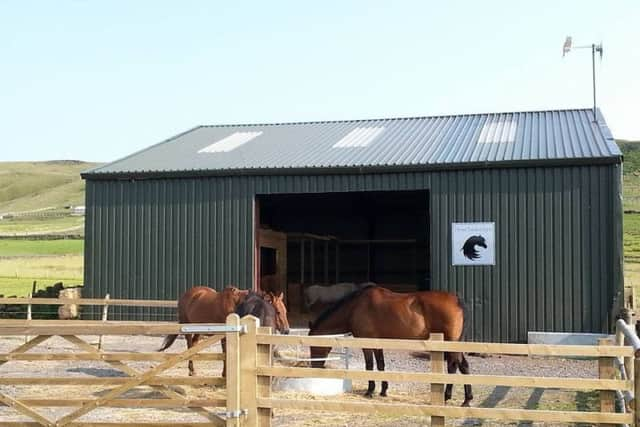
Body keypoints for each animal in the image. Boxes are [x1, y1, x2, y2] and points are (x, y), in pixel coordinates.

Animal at [310, 286, 476, 406]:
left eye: (312, 346)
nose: (315, 367)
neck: (355, 307)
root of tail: (456, 300)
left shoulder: (366, 343)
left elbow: (369, 366)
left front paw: (370, 391)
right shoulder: (378, 343)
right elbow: (381, 365)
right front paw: (383, 391)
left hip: (449, 343)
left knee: (453, 366)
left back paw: (448, 396)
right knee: (464, 366)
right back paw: (466, 400)